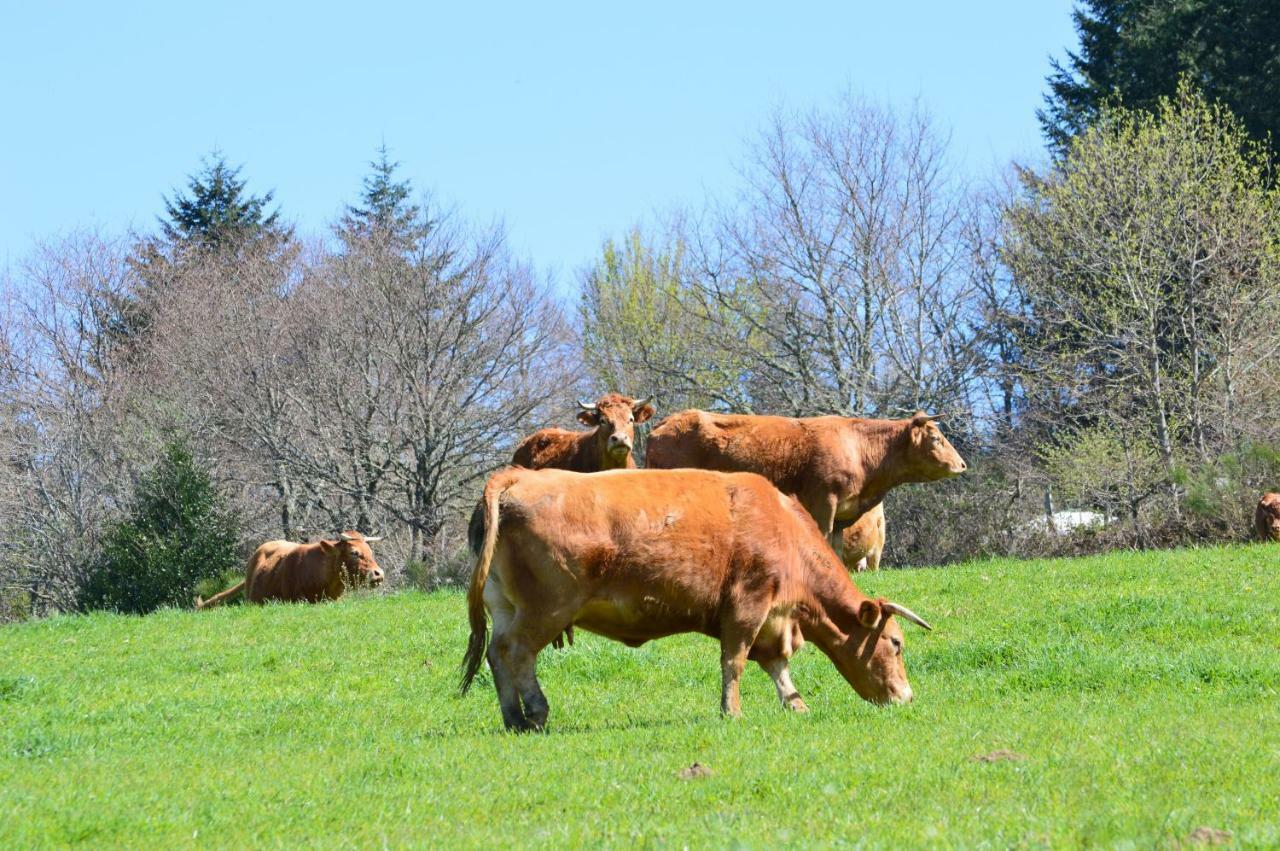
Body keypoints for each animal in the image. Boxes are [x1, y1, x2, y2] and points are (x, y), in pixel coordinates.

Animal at [458, 465, 931, 731]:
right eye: (896, 643)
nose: (907, 698)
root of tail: (518, 476)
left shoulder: (774, 619)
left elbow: (777, 665)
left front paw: (795, 703)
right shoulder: (747, 607)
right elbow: (734, 662)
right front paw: (732, 712)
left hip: (507, 607)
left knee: (497, 655)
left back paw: (513, 717)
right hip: (546, 609)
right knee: (517, 653)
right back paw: (535, 712)